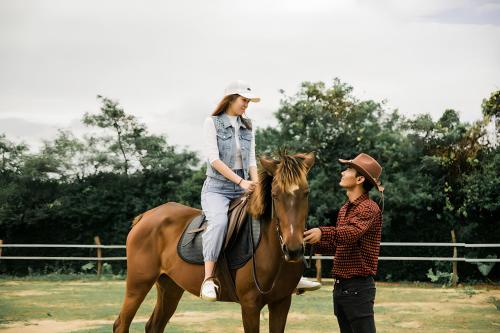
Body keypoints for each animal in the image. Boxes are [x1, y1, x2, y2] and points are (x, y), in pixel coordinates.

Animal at [114, 152, 312, 330]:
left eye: (306, 193)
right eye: (275, 194)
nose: (293, 250)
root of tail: (145, 216)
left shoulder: (281, 303)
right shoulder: (250, 305)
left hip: (170, 287)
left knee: (154, 325)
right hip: (138, 284)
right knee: (121, 323)